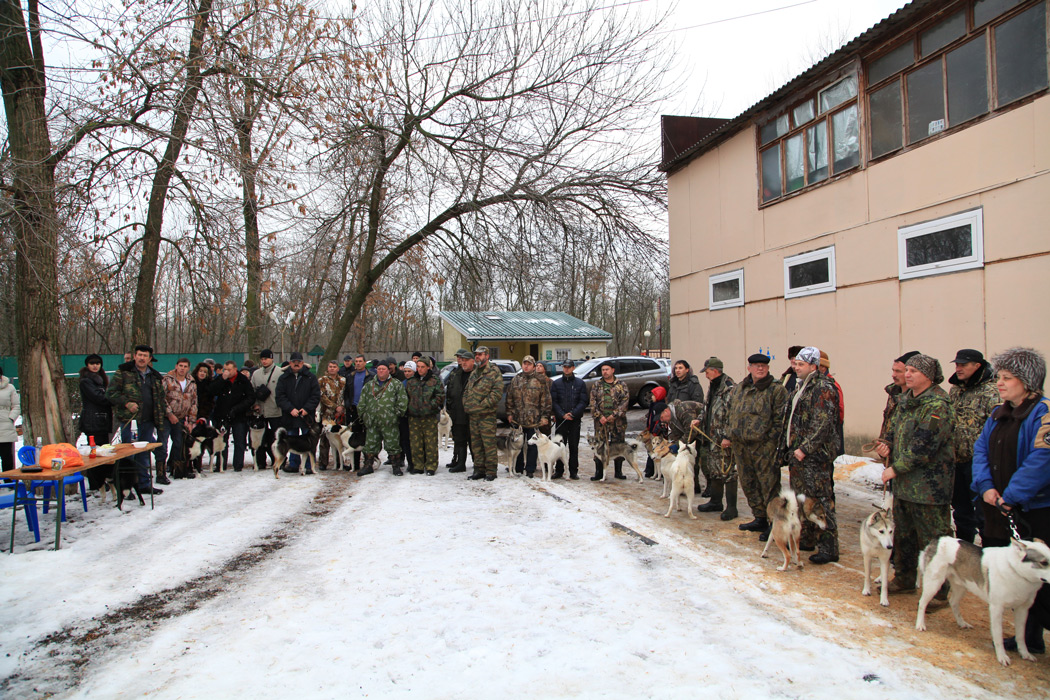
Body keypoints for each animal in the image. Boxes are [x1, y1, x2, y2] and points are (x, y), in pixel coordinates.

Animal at [916, 536, 1050, 666]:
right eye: (1043, 562)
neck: (1015, 570)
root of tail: (937, 539)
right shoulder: (996, 608)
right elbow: (998, 635)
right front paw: (1002, 656)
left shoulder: (1023, 610)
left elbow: (1021, 636)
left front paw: (1025, 654)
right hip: (934, 583)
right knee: (922, 603)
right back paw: (920, 624)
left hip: (961, 586)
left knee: (953, 602)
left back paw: (962, 623)